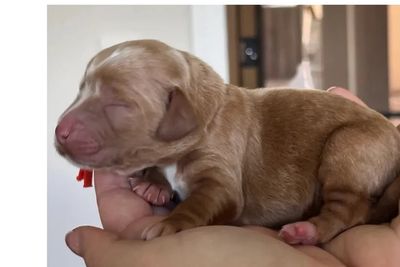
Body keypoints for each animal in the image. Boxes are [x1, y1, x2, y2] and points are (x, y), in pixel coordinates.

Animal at [55, 39, 400, 245]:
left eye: (119, 104)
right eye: (81, 89)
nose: (59, 131)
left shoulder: (221, 173)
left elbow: (202, 201)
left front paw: (170, 224)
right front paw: (153, 184)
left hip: (349, 145)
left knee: (349, 209)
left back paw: (307, 230)